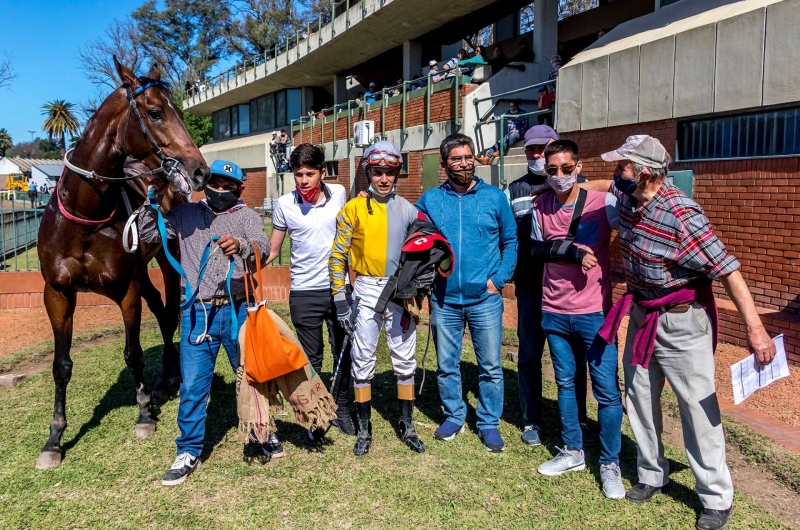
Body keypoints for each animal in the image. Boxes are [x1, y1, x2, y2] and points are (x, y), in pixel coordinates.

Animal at [34, 57, 211, 468]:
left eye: (180, 111)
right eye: (156, 112)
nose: (199, 170)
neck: (84, 217)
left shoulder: (125, 290)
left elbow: (133, 353)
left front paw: (144, 413)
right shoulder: (58, 294)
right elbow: (60, 365)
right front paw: (54, 438)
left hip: (166, 257)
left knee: (169, 312)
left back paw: (164, 382)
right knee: (161, 309)